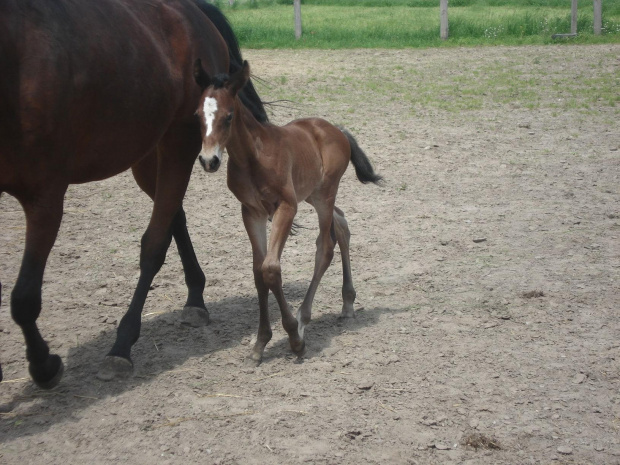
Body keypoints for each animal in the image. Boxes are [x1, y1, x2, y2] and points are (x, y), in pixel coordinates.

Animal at [0, 0, 264, 388]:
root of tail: (194, 12)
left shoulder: (45, 196)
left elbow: (25, 297)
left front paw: (44, 365)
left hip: (177, 146)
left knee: (155, 241)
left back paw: (121, 346)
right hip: (146, 154)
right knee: (173, 215)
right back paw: (194, 298)